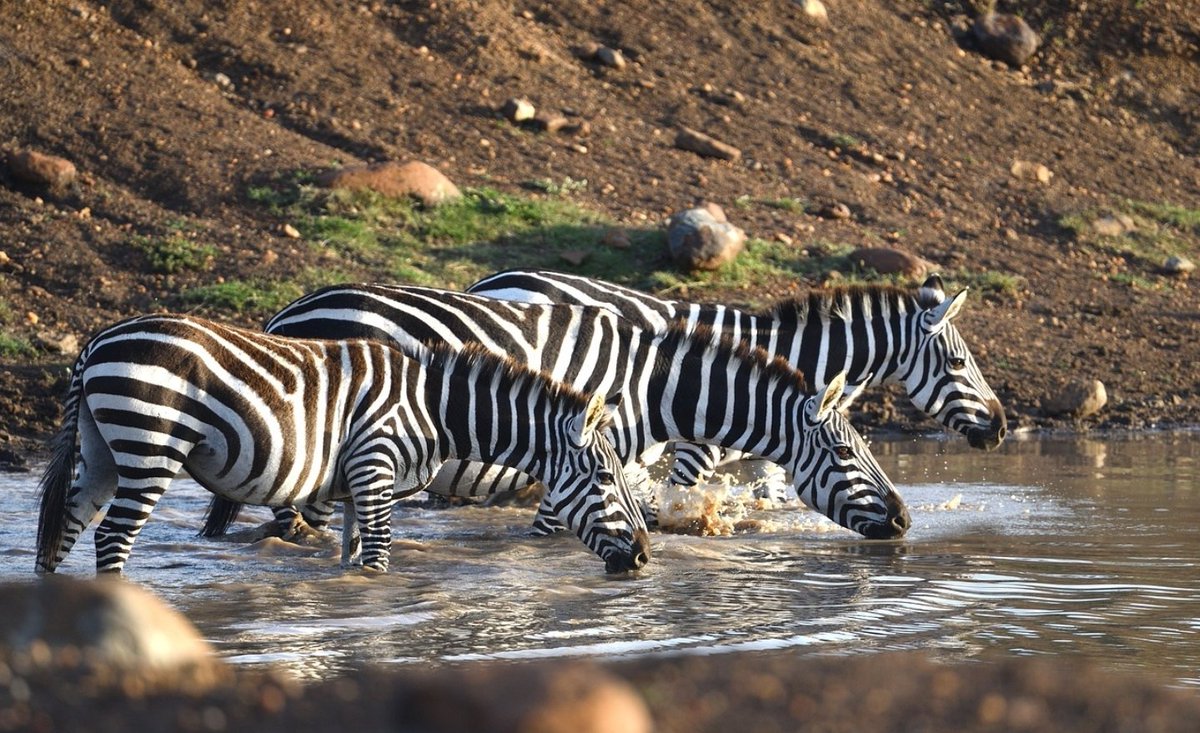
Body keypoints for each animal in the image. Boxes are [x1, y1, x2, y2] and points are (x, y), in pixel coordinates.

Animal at [32, 311, 652, 575]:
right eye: (604, 479)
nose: (645, 557)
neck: (435, 407)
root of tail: (96, 343)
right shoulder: (375, 469)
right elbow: (378, 558)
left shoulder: (355, 485)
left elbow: (352, 559)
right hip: (150, 446)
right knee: (112, 537)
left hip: (103, 453)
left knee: (63, 529)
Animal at [201, 284, 902, 542]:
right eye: (847, 453)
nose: (903, 523)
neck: (651, 387)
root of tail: (286, 313)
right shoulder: (579, 457)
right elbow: (552, 531)